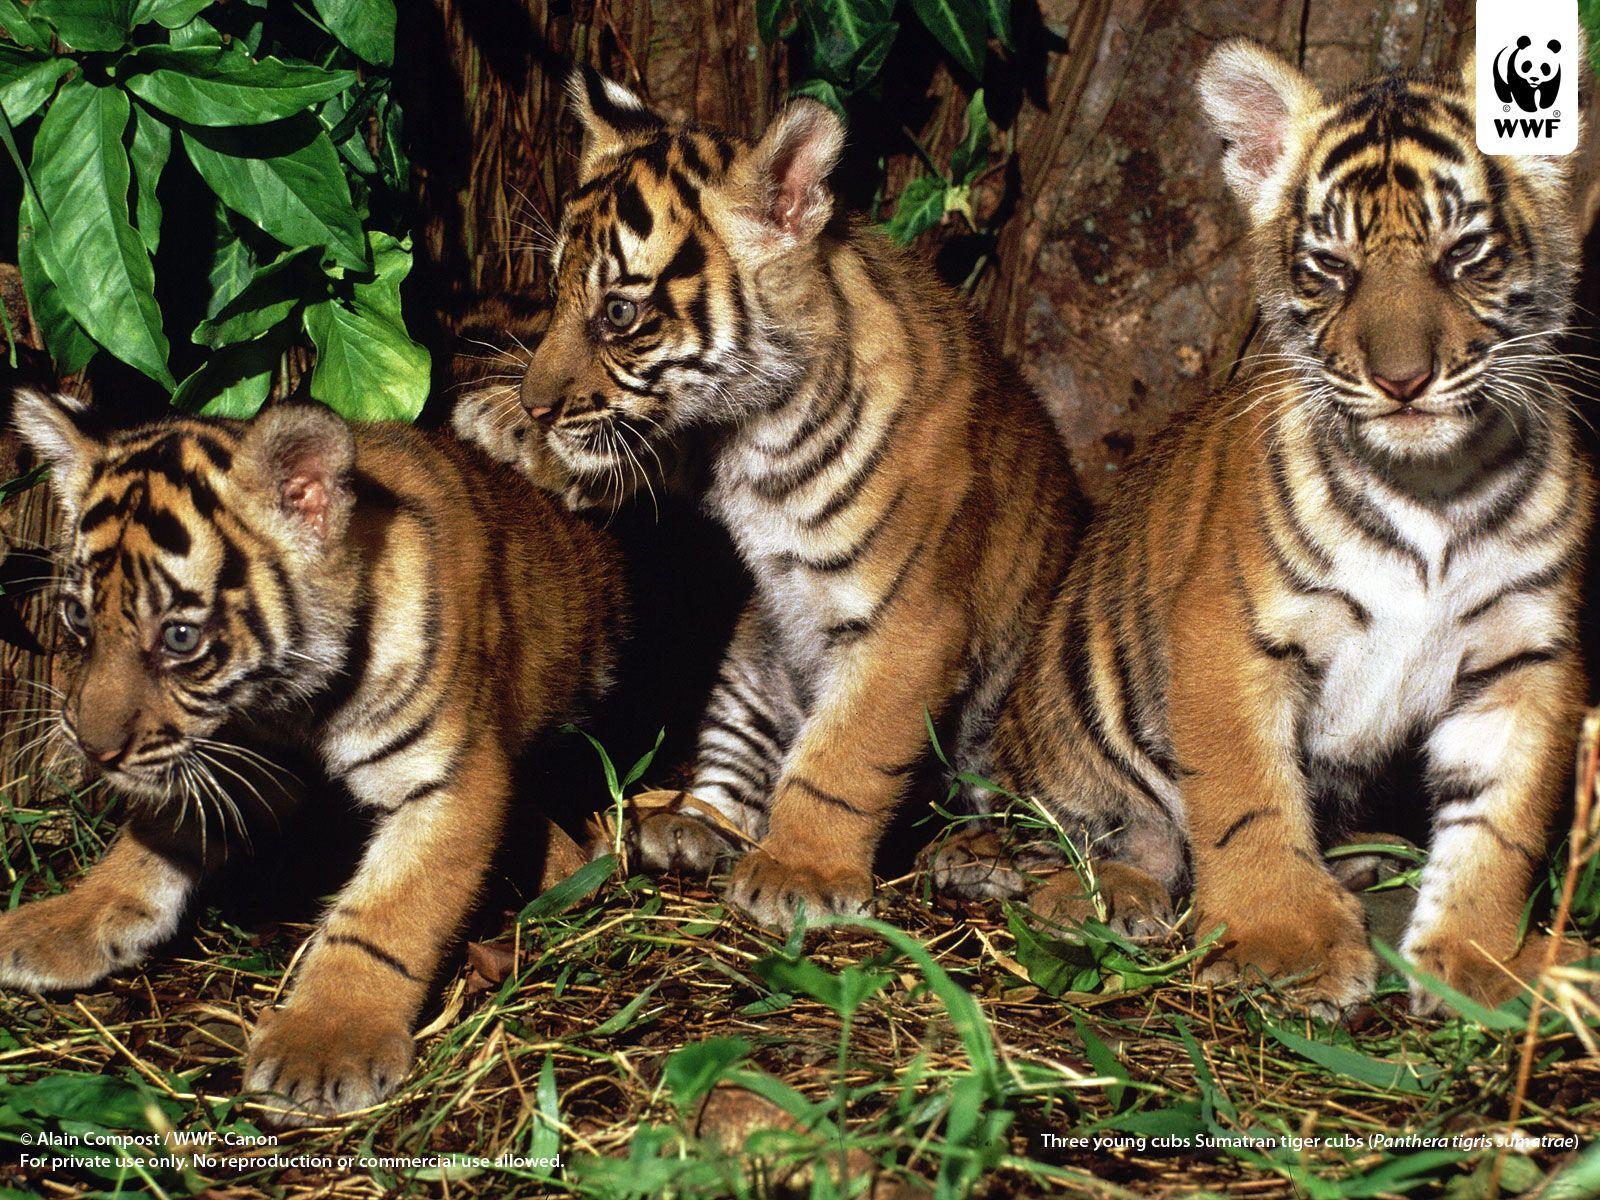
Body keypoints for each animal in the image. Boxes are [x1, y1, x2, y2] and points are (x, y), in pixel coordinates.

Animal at [2, 391, 625, 1122]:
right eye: (77, 618)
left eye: (180, 636)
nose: (95, 751)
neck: (288, 703)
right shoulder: (239, 753)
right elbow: (151, 842)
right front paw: (65, 921)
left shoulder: (451, 777)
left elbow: (387, 912)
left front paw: (326, 1045)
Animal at [457, 68, 1086, 930]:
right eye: (554, 293)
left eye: (619, 312)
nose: (537, 403)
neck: (754, 435)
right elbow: (647, 441)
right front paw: (506, 425)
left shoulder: (911, 622)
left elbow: (844, 756)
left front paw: (800, 873)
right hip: (753, 662)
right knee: (735, 759)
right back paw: (686, 826)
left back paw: (973, 857)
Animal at [947, 40, 1594, 1015]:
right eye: (1331, 266)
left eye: (1464, 255)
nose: (1402, 381)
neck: (1434, 486)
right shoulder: (1226, 633)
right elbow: (1247, 796)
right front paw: (1286, 947)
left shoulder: (1526, 652)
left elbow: (1501, 822)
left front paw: (1483, 963)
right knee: (1069, 831)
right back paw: (1090, 892)